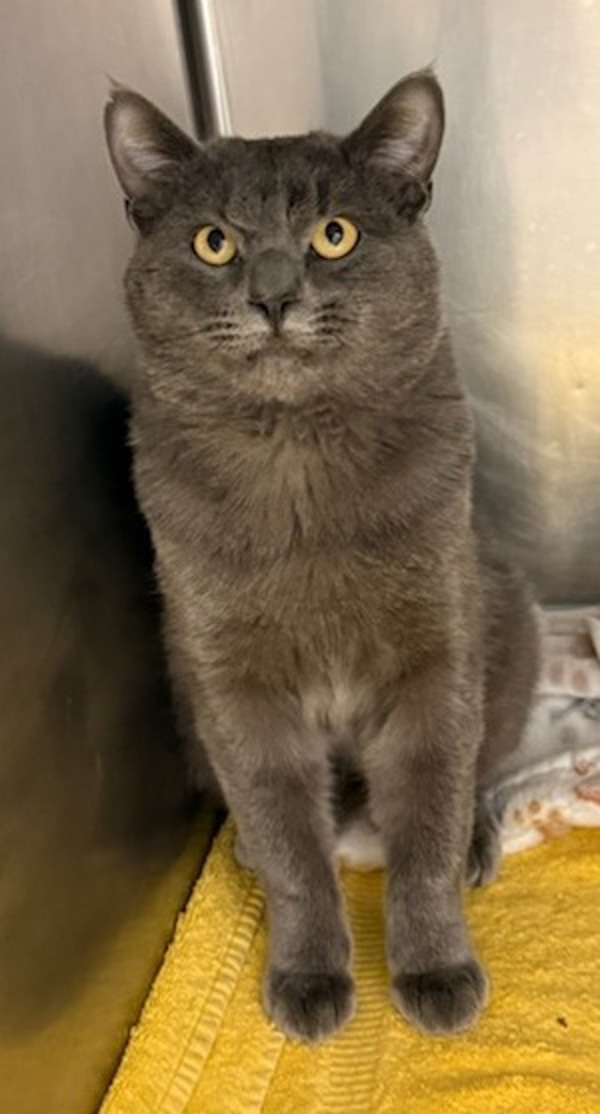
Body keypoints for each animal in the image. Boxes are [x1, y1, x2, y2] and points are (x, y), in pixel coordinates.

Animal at [104, 71, 541, 1042]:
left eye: (334, 235)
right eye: (215, 242)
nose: (272, 297)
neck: (297, 455)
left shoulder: (435, 655)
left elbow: (428, 822)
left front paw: (436, 971)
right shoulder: (234, 683)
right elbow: (291, 846)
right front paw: (307, 977)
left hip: (509, 626)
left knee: (482, 767)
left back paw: (478, 842)